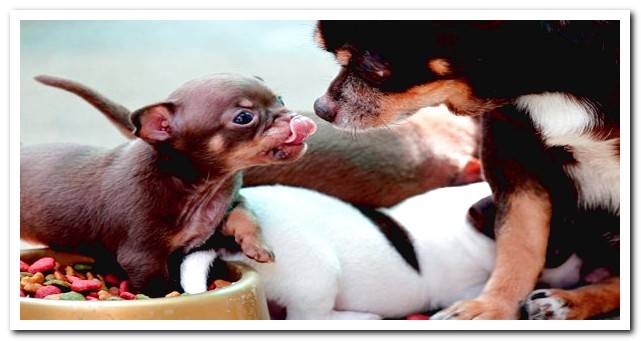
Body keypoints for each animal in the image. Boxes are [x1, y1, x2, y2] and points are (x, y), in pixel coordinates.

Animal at [21, 73, 316, 294]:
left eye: (280, 99)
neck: (201, 186)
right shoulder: (143, 257)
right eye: (244, 118)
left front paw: (258, 246)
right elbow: (158, 287)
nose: (299, 120)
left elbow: (246, 217)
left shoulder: (230, 203)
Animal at [180, 183, 584, 318]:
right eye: (556, 249)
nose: (583, 273)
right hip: (318, 276)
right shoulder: (463, 287)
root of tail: (225, 233)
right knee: (309, 320)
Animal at [316, 20, 620, 318]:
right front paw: (494, 307)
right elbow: (519, 244)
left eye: (372, 69)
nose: (320, 109)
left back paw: (566, 302)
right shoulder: (509, 154)